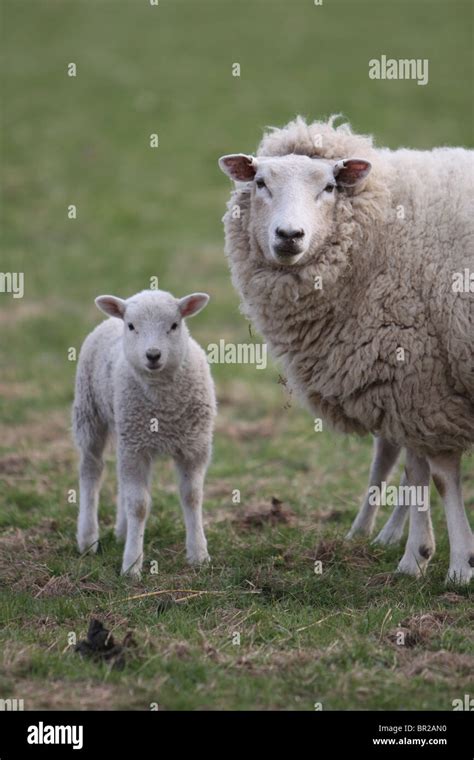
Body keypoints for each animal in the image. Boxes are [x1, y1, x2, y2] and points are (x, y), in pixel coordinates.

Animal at [72, 288, 217, 572]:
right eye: (131, 326)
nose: (152, 355)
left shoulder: (194, 446)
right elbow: (139, 506)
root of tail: (110, 320)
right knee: (91, 470)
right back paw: (88, 539)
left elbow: (192, 497)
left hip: (126, 431)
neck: (164, 409)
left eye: (174, 325)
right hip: (90, 413)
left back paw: (121, 530)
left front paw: (199, 555)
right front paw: (131, 565)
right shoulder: (136, 448)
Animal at [219, 116, 474, 584]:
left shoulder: (422, 379)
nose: (289, 235)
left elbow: (438, 474)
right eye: (261, 182)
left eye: (329, 186)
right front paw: (417, 555)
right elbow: (415, 467)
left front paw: (456, 564)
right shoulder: (410, 379)